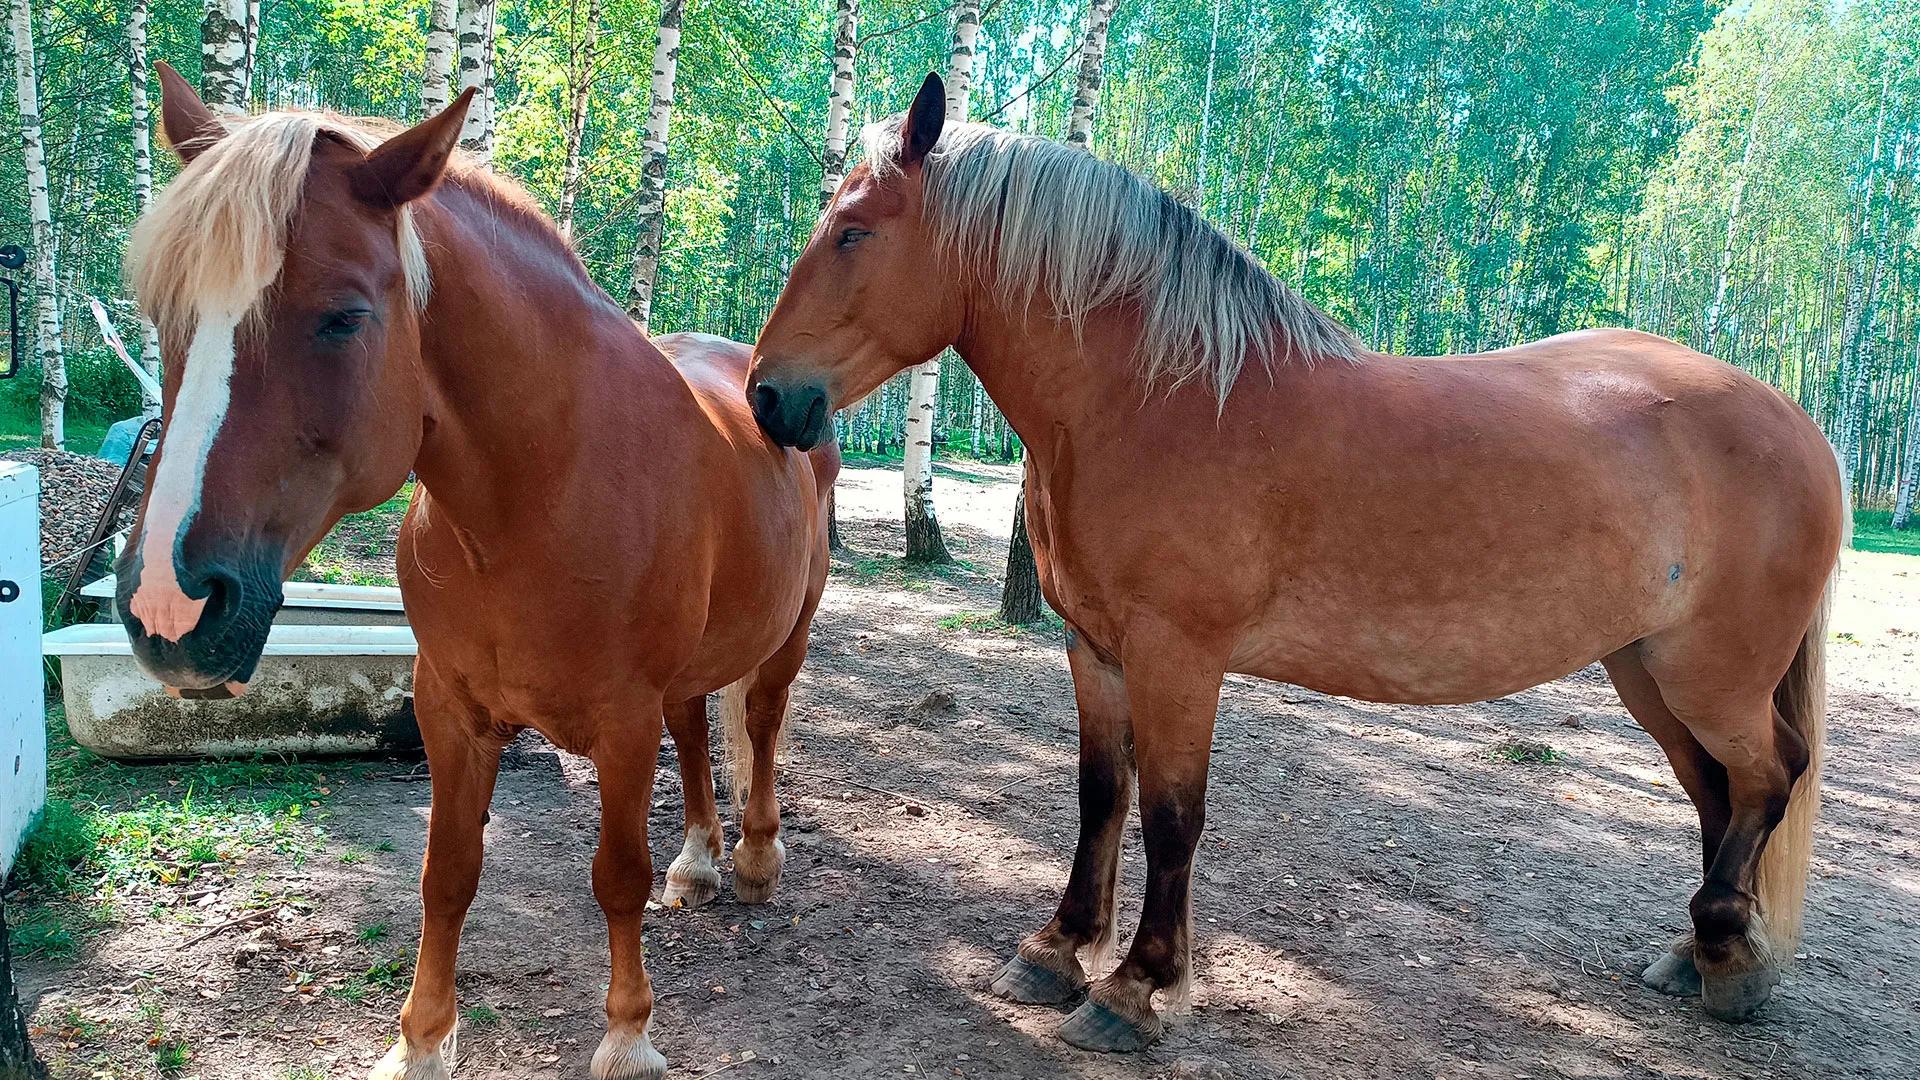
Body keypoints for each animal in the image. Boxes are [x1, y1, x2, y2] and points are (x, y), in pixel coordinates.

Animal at [116, 65, 837, 1080]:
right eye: (166, 317)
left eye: (344, 317)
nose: (171, 609)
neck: (538, 494)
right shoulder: (451, 710)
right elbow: (447, 875)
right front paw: (420, 1042)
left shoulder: (621, 722)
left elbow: (617, 877)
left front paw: (627, 1036)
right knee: (697, 731)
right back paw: (699, 861)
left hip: (789, 632)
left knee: (760, 725)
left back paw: (755, 860)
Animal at [747, 73, 1846, 1053]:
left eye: (854, 232)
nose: (768, 398)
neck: (1157, 397)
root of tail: (1799, 427)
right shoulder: (1096, 649)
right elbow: (1101, 795)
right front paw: (1057, 951)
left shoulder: (1179, 658)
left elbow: (1173, 815)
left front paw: (1135, 991)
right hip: (1647, 671)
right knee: (1720, 791)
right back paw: (1696, 953)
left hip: (1711, 676)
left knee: (1769, 774)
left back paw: (1729, 958)